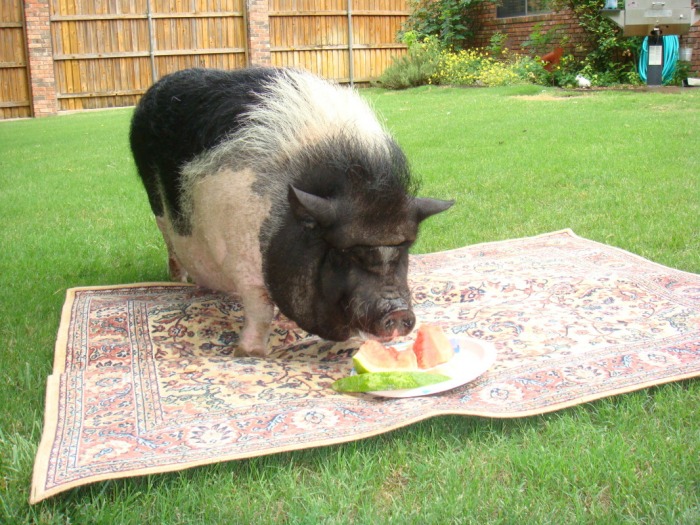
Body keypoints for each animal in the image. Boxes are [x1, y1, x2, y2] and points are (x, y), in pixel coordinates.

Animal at [129, 67, 453, 356]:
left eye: (404, 250)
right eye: (342, 254)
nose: (398, 313)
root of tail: (157, 87)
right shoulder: (241, 258)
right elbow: (261, 309)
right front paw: (250, 354)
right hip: (155, 201)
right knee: (168, 239)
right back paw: (179, 281)